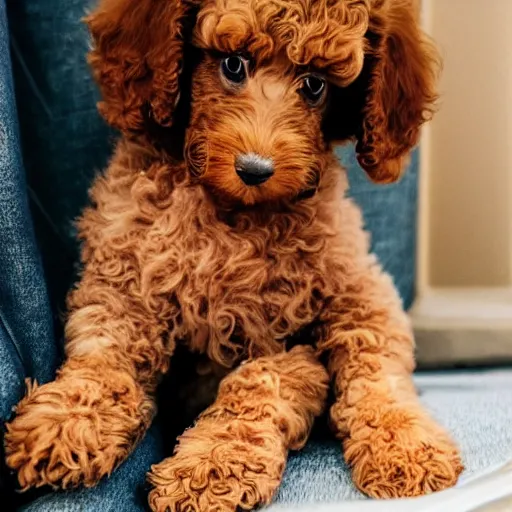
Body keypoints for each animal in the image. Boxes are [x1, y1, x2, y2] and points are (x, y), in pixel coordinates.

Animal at [4, 0, 462, 510]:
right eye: (233, 64)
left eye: (315, 85)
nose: (255, 169)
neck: (231, 214)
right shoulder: (127, 275)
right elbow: (105, 351)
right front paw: (65, 421)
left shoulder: (323, 316)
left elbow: (273, 382)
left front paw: (207, 470)